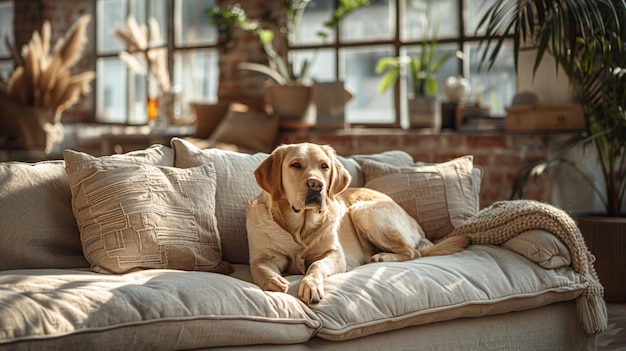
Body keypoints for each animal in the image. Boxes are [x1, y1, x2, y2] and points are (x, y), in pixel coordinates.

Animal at [245, 143, 468, 306]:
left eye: (324, 166)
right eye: (295, 165)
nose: (316, 185)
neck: (300, 229)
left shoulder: (335, 254)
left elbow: (316, 265)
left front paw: (311, 285)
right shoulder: (263, 257)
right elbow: (261, 268)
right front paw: (274, 281)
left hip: (363, 211)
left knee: (413, 252)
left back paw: (382, 256)